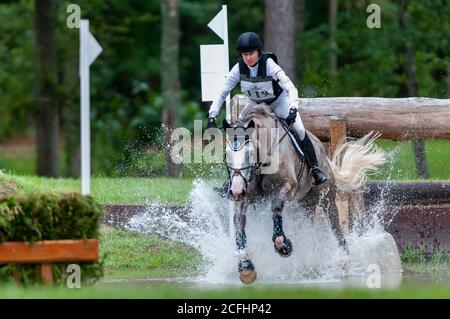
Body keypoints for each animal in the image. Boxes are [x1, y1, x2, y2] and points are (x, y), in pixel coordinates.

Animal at [221, 103, 384, 284]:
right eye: (227, 154)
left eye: (249, 153)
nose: (236, 190)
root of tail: (321, 148)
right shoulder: (245, 196)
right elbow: (238, 221)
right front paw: (246, 267)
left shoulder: (289, 185)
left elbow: (276, 206)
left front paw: (282, 245)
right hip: (305, 204)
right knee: (306, 225)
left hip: (326, 198)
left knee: (335, 225)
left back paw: (345, 260)